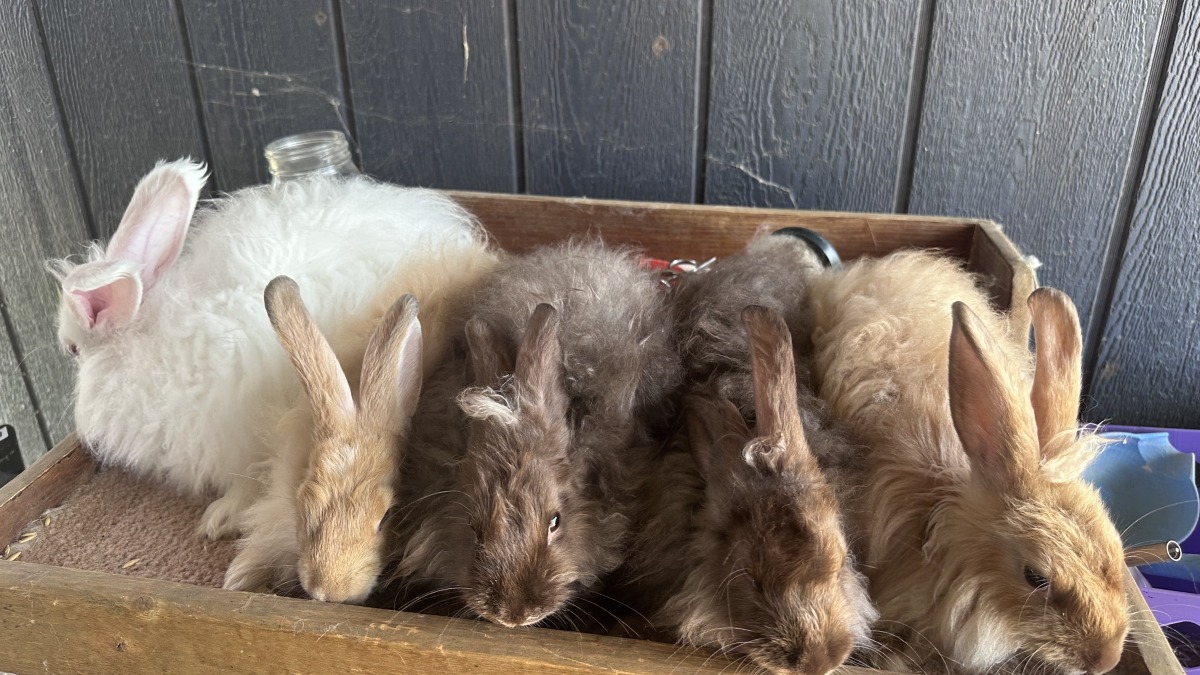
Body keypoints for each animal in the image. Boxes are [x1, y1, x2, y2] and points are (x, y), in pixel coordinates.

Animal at [47, 159, 482, 539]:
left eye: (72, 349)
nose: (80, 428)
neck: (153, 348)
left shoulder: (241, 433)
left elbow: (249, 480)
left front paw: (220, 518)